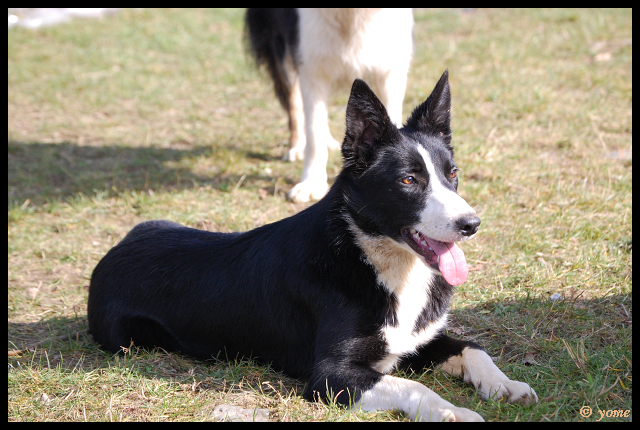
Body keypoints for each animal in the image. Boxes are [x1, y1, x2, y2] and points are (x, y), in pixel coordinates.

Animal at [87, 70, 536, 420]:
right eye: (409, 180)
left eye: (452, 173)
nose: (471, 225)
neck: (371, 257)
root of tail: (115, 250)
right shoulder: (331, 376)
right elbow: (414, 387)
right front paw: (453, 411)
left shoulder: (417, 341)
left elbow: (475, 349)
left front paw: (506, 385)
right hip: (130, 340)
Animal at [242, 7, 412, 203]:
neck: (352, 14)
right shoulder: (310, 65)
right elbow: (313, 132)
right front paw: (311, 184)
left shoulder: (390, 68)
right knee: (294, 103)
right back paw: (296, 147)